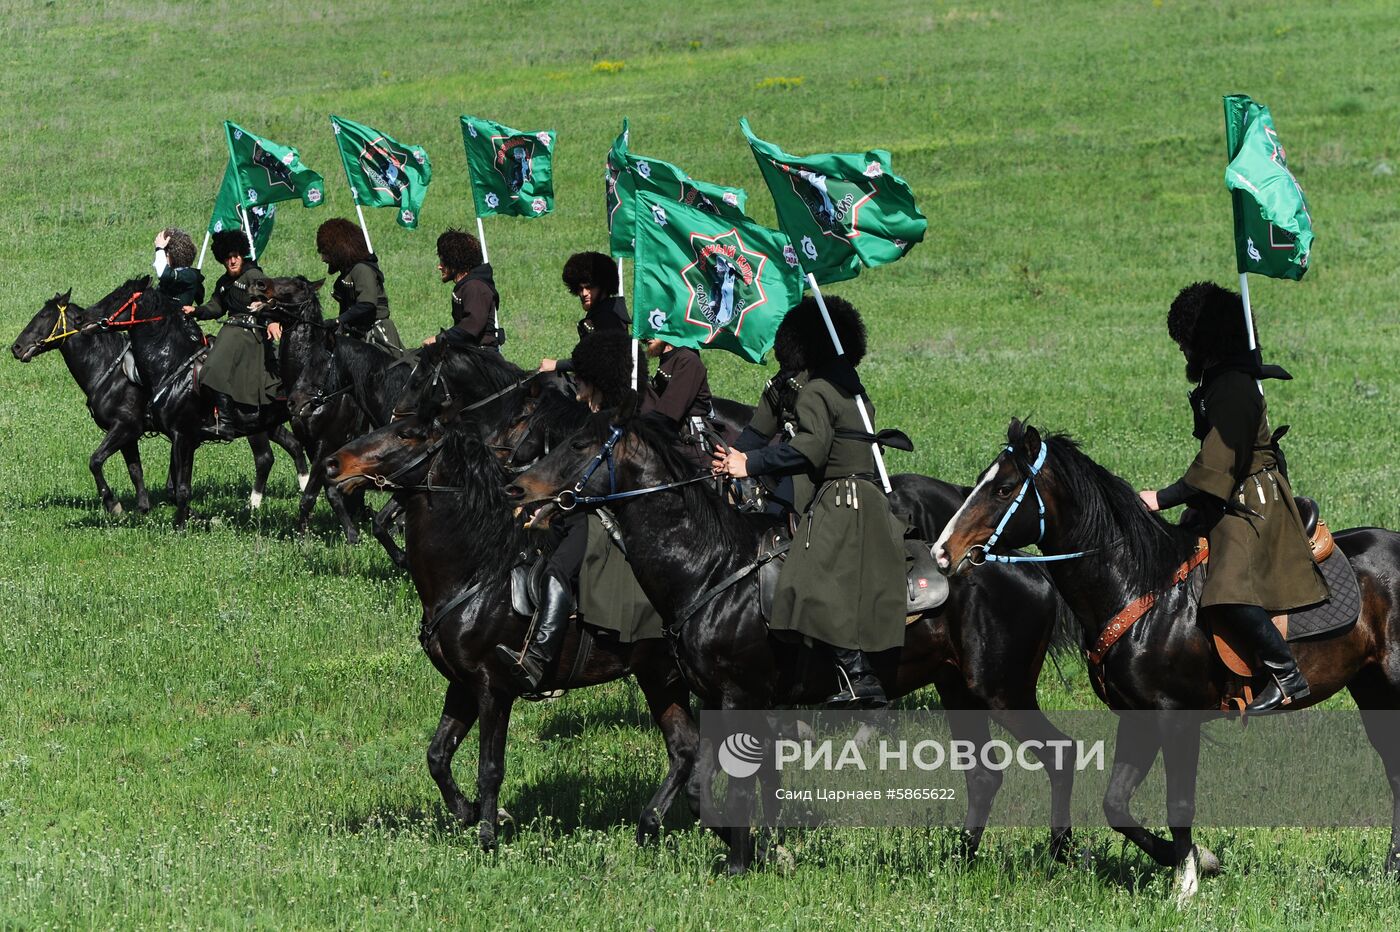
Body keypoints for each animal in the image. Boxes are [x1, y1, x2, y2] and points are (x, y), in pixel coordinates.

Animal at [15, 282, 305, 514]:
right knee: (294, 446)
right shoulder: (130, 435)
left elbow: (96, 461)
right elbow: (136, 471)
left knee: (264, 458)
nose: (16, 348)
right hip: (269, 424)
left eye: (43, 315)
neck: (108, 368)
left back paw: (254, 505)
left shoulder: (126, 428)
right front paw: (143, 508)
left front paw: (114, 505)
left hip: (255, 429)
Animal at [322, 400, 705, 850]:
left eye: (406, 435)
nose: (332, 464)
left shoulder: (493, 689)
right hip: (659, 677)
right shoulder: (462, 685)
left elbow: (490, 767)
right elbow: (437, 756)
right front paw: (466, 812)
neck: (477, 573)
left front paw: (487, 836)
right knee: (685, 749)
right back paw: (661, 821)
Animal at [509, 411, 1075, 873]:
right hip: (958, 691)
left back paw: (1061, 852)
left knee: (1060, 754)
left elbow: (735, 784)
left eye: (580, 444)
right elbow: (701, 787)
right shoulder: (718, 699)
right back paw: (960, 857)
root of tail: (1028, 571)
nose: (517, 490)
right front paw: (757, 850)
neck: (710, 567)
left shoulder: (741, 697)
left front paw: (745, 862)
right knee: (984, 777)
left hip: (1003, 692)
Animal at [935, 417, 1400, 895]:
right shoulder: (1137, 717)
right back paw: (1390, 870)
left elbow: (1178, 802)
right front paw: (1196, 860)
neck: (1143, 590)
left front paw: (1187, 885)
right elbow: (1116, 805)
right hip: (1373, 692)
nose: (943, 552)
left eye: (1004, 488)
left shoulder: (1176, 717)